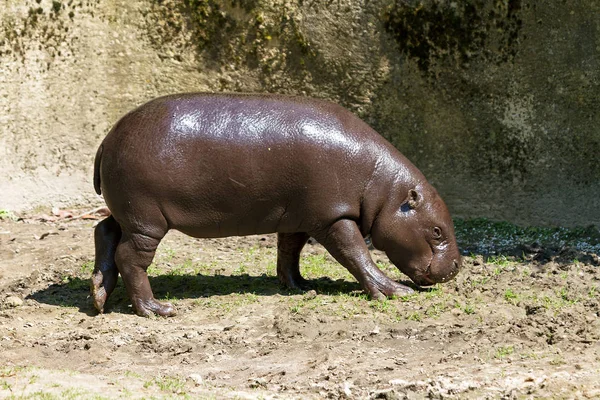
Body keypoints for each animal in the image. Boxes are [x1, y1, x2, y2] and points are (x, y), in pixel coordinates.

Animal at [89, 93, 460, 316]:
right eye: (437, 230)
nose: (457, 266)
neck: (382, 188)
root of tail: (106, 139)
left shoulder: (299, 215)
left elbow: (289, 249)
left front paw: (299, 286)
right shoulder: (332, 217)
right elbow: (356, 254)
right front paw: (395, 292)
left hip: (128, 213)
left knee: (104, 231)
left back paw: (98, 297)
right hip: (146, 218)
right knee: (130, 257)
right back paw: (157, 309)